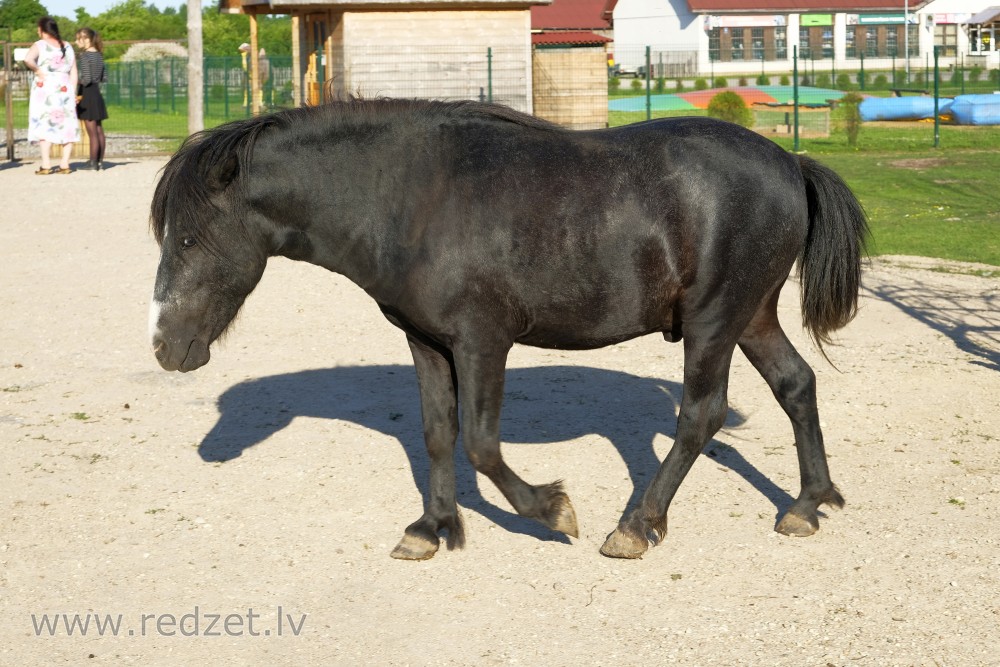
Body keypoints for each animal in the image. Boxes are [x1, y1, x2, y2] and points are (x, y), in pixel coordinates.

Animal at [150, 98, 868, 560]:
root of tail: (791, 163)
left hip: (714, 319)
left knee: (701, 414)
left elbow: (481, 444)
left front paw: (552, 510)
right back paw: (807, 504)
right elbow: (438, 435)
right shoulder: (428, 342)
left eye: (188, 237)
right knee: (795, 385)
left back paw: (637, 525)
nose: (164, 346)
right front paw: (431, 527)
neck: (410, 195)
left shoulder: (482, 341)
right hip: (751, 315)